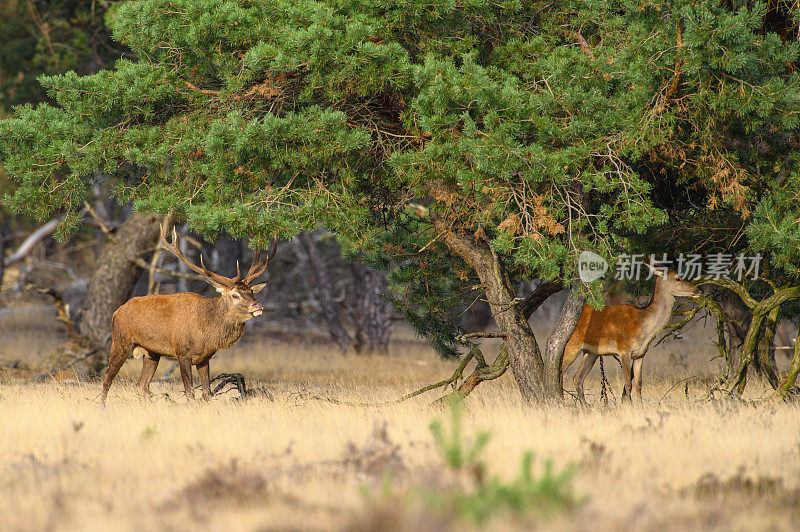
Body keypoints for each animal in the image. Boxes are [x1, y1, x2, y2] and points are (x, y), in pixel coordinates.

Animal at [100, 224, 278, 404]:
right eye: (235, 295)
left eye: (252, 292)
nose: (258, 305)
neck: (207, 332)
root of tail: (117, 311)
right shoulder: (182, 353)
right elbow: (190, 393)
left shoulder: (205, 358)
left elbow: (206, 393)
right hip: (121, 341)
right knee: (107, 378)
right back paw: (102, 406)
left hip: (152, 353)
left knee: (142, 384)